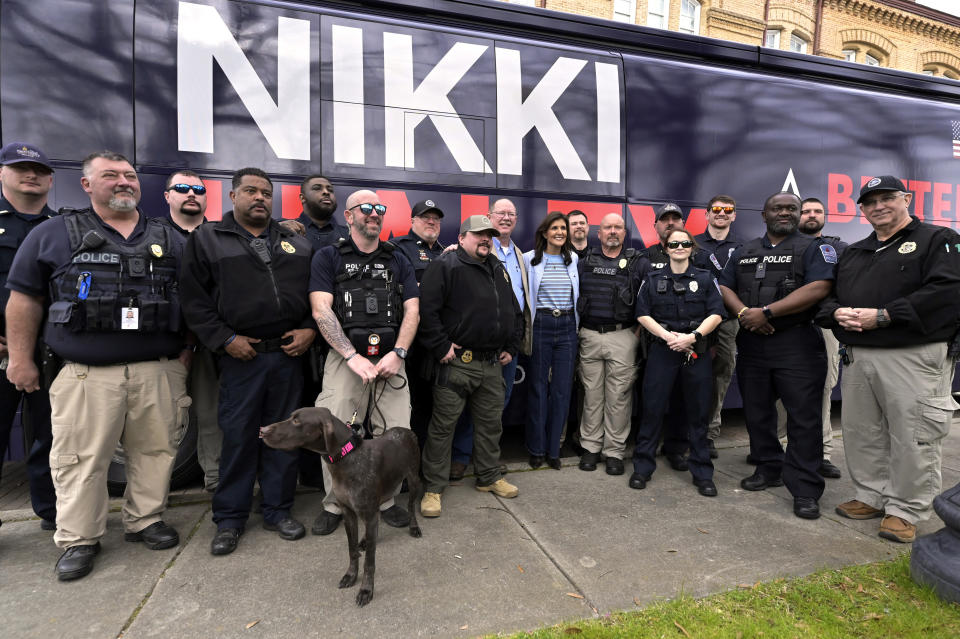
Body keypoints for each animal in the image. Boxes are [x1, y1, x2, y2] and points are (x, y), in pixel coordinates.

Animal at [258, 408, 420, 608]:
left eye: (296, 421)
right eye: (291, 417)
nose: (262, 430)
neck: (346, 458)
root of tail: (404, 430)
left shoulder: (368, 514)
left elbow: (369, 562)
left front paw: (366, 590)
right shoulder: (348, 514)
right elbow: (352, 550)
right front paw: (351, 575)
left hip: (413, 480)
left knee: (411, 506)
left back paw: (414, 527)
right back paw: (366, 540)